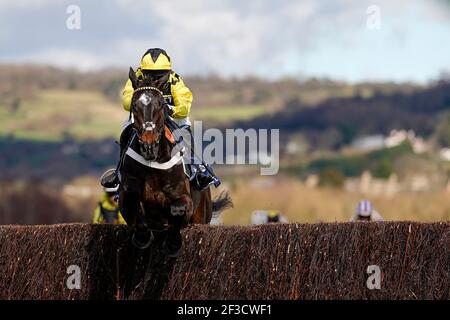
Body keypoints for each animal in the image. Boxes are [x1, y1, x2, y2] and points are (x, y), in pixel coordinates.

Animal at [118, 67, 232, 255]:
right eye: (134, 105)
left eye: (160, 105)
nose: (149, 144)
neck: (154, 163)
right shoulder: (126, 194)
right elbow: (131, 201)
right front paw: (143, 237)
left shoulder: (184, 198)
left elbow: (178, 208)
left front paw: (172, 243)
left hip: (202, 215)